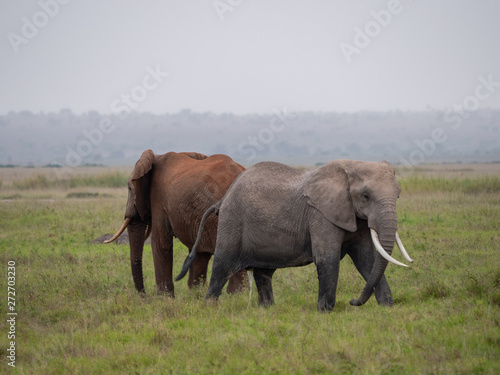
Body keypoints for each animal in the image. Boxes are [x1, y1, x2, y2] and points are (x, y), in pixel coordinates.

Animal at [108, 151, 252, 298]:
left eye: (129, 187)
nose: (144, 296)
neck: (156, 156)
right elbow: (198, 253)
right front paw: (195, 295)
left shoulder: (159, 199)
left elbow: (160, 243)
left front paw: (164, 298)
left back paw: (235, 297)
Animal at [178, 161, 412, 312]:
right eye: (365, 196)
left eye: (398, 195)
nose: (353, 301)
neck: (351, 167)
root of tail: (223, 198)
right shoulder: (320, 214)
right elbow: (327, 258)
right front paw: (325, 312)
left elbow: (367, 260)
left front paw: (386, 308)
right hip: (232, 222)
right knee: (222, 265)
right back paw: (210, 307)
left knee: (263, 273)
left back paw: (267, 310)